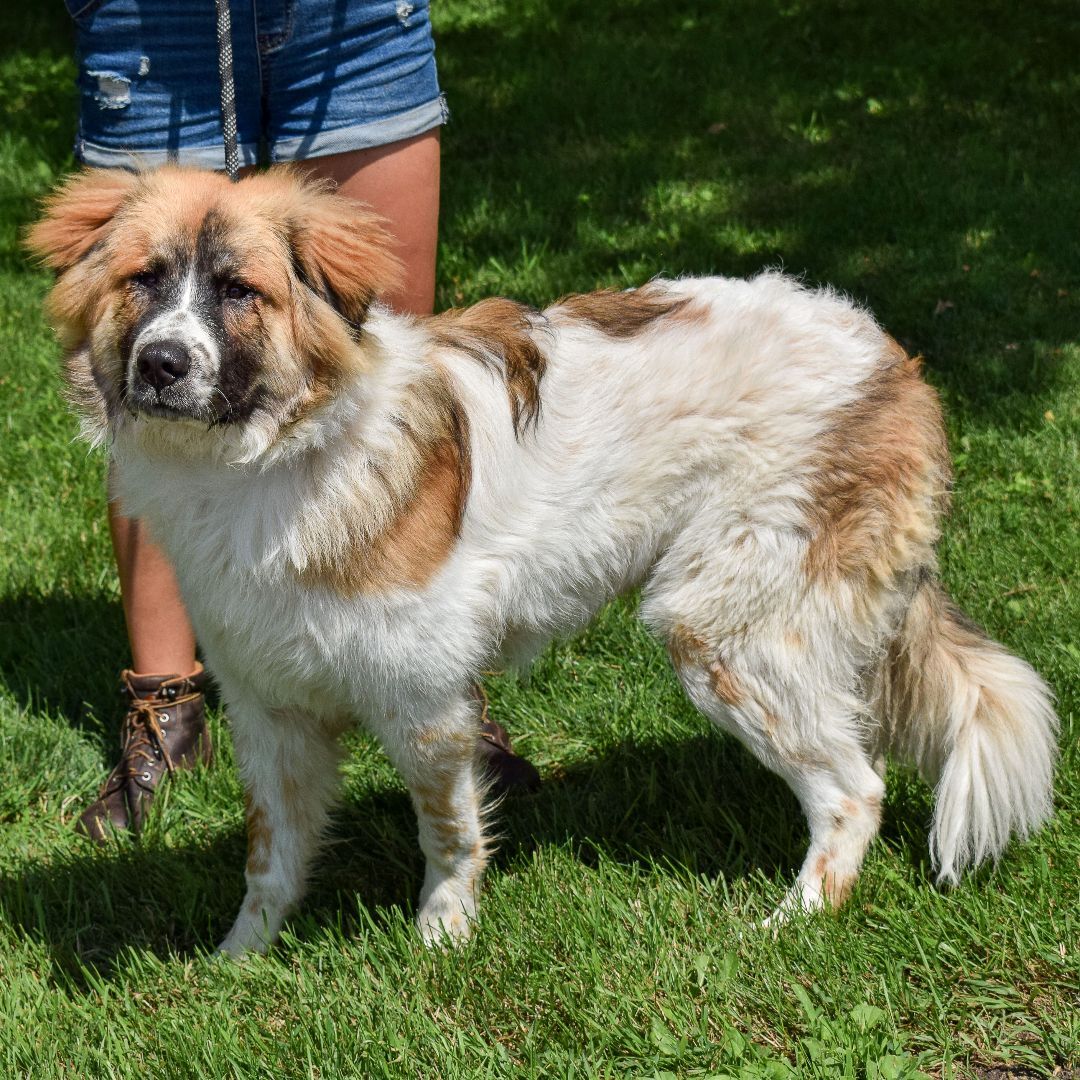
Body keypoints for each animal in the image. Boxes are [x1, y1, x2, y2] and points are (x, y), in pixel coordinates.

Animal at [29, 166, 1058, 954]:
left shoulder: (425, 703)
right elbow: (268, 856)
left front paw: (440, 943)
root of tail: (888, 354)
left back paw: (789, 923)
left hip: (724, 626)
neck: (269, 460)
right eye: (143, 281)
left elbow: (447, 832)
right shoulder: (271, 708)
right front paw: (238, 961)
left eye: (239, 291)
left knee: (854, 789)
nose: (162, 364)